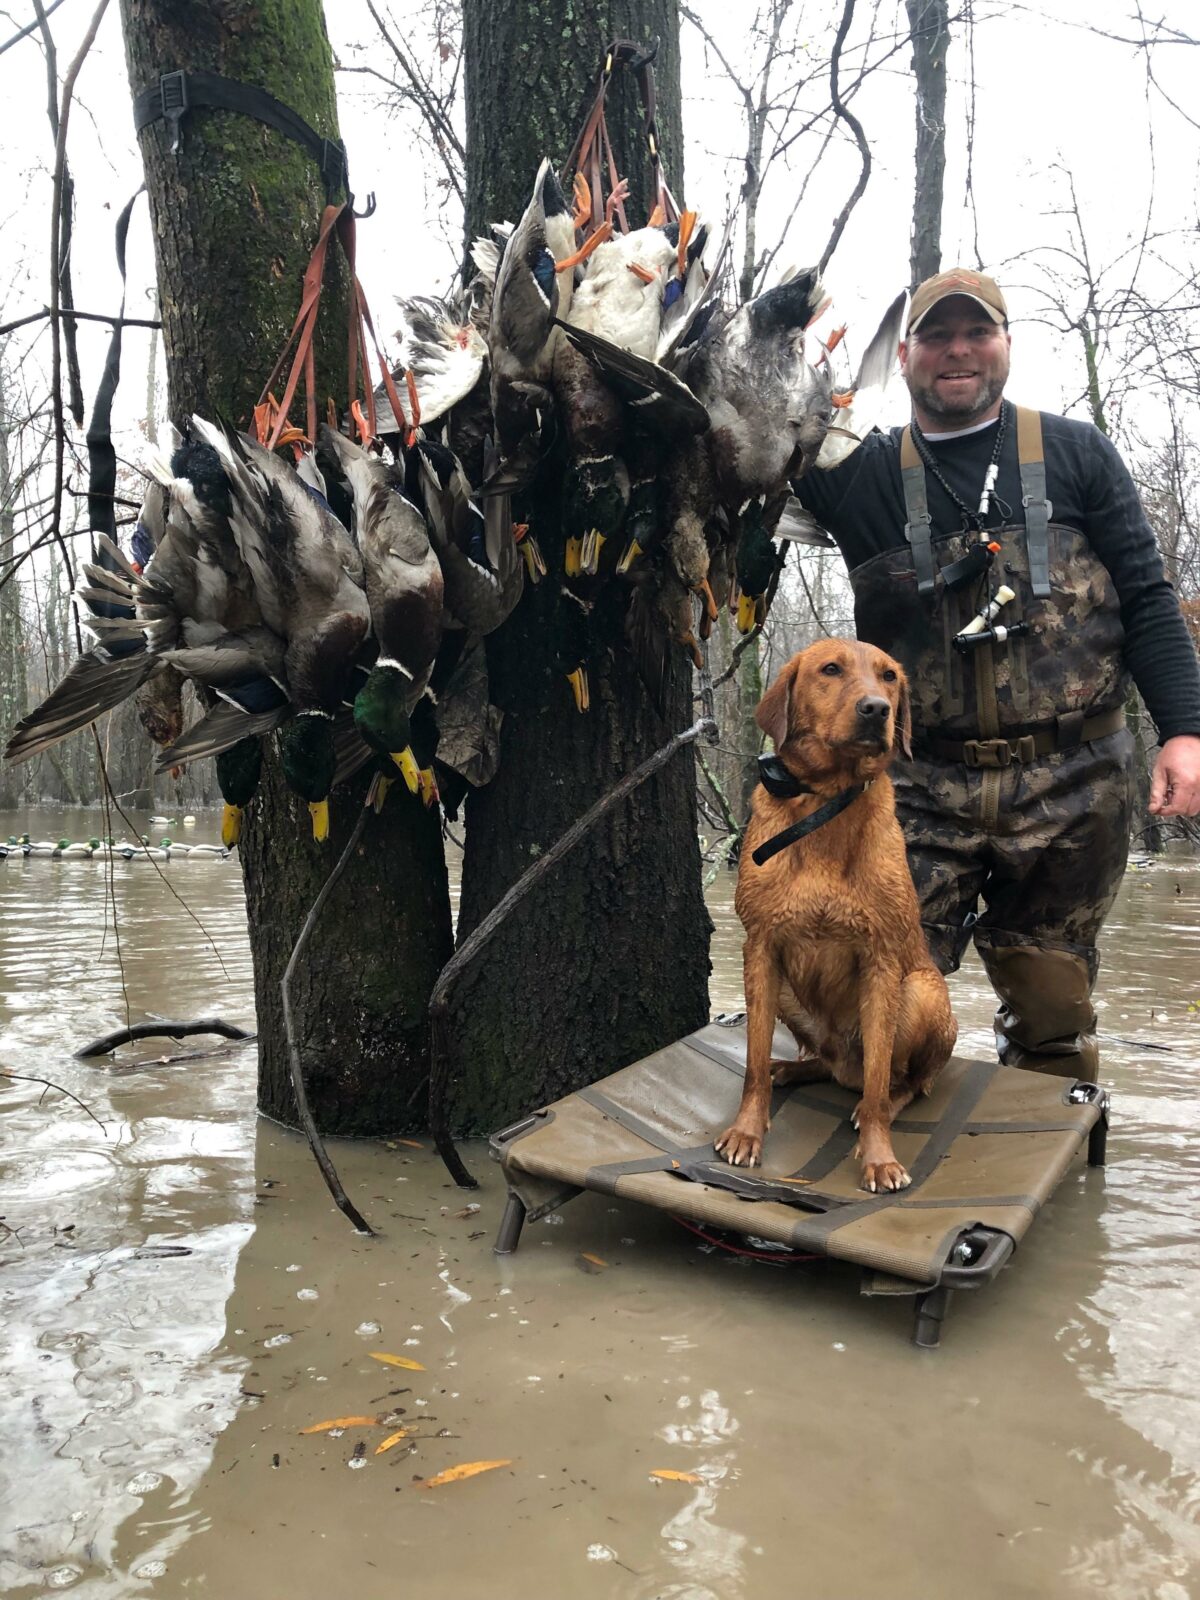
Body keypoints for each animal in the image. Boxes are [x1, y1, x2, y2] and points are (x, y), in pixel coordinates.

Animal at [720, 636, 966, 1190]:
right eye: (830, 670)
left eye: (890, 676)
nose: (876, 709)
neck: (826, 804)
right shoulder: (759, 949)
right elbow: (751, 1063)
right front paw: (747, 1131)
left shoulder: (880, 961)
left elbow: (877, 1084)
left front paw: (878, 1158)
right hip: (787, 994)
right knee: (823, 1064)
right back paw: (790, 1069)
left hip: (920, 992)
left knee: (904, 1080)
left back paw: (887, 1101)